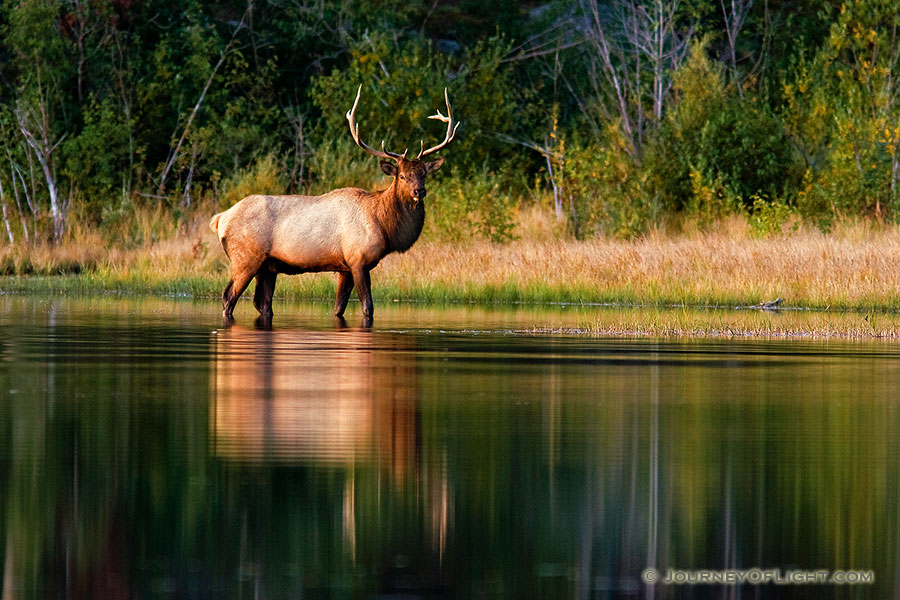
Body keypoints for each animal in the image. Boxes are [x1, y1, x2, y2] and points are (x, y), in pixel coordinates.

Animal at [209, 84, 458, 324]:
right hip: (245, 258)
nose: (419, 191)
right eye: (403, 176)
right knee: (228, 296)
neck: (383, 225)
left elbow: (338, 309)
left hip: (268, 266)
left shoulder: (344, 268)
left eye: (424, 174)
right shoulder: (358, 259)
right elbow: (368, 308)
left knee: (262, 304)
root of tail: (220, 219)